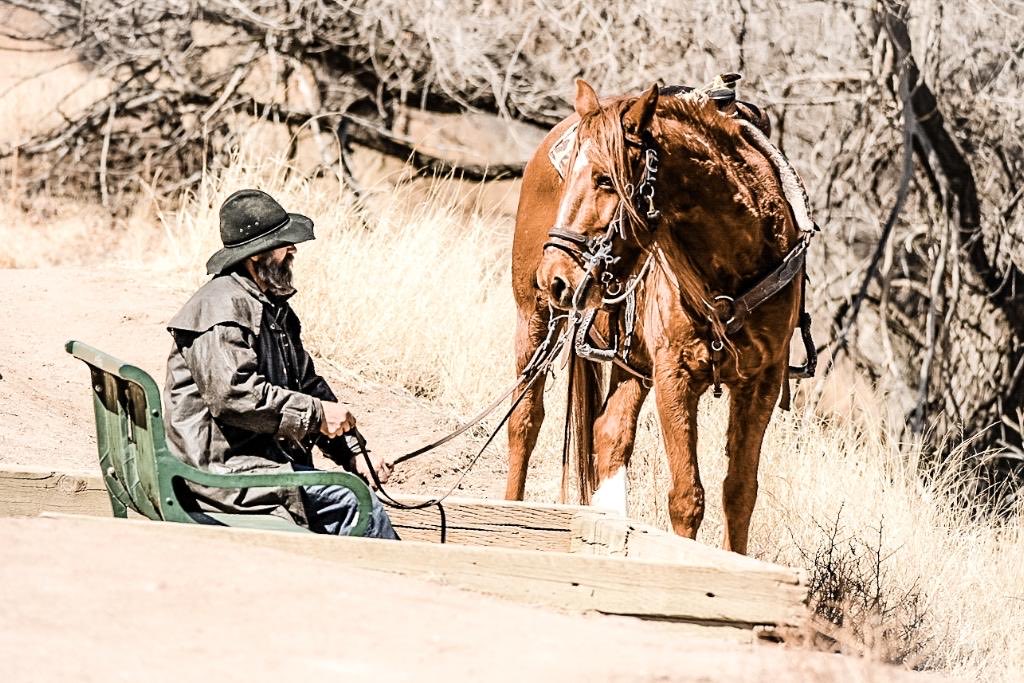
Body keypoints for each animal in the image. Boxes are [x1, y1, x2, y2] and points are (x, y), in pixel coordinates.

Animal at [505, 78, 814, 555]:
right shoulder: (675, 376)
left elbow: (740, 492)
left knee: (610, 432)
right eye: (569, 174)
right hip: (534, 320)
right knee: (524, 420)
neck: (734, 261)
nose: (555, 278)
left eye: (604, 179)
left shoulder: (759, 384)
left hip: (633, 365)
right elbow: (687, 496)